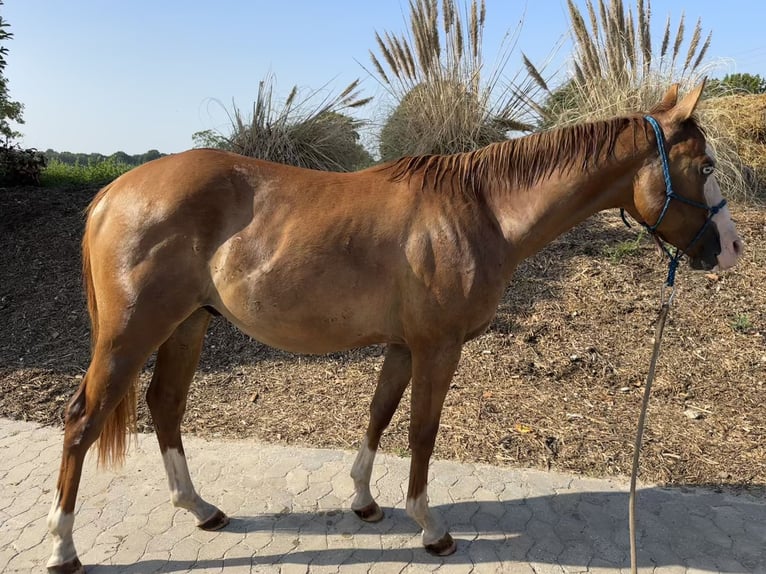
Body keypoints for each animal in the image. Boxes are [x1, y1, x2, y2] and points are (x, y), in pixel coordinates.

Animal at [46, 81, 743, 573]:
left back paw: (201, 510)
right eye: (706, 166)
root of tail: (113, 193)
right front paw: (430, 529)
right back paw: (62, 548)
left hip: (187, 326)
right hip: (131, 334)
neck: (480, 211)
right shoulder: (438, 348)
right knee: (82, 421)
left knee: (165, 405)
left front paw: (364, 501)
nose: (730, 250)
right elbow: (422, 433)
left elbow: (380, 416)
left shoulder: (405, 346)